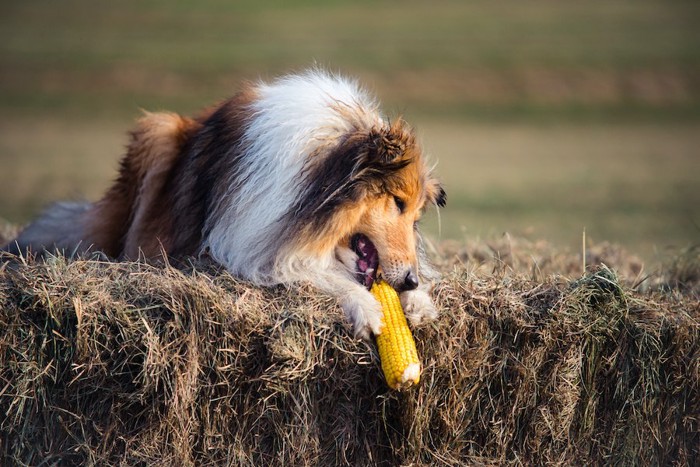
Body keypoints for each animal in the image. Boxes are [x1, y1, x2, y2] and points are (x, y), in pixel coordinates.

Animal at [5, 69, 446, 340]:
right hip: (157, 132)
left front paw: (420, 303)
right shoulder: (252, 246)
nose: (410, 281)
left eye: (416, 215)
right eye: (397, 202)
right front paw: (366, 308)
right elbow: (317, 271)